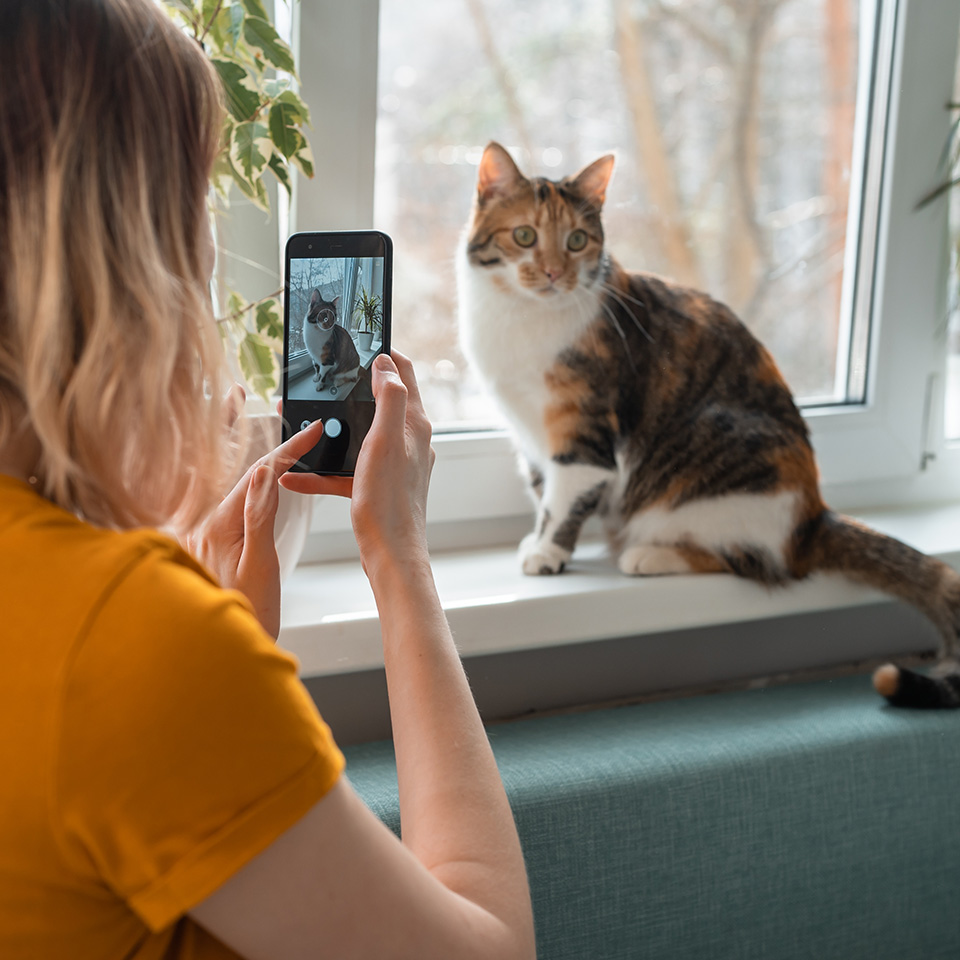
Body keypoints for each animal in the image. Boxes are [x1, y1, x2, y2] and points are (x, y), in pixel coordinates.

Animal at [458, 144, 960, 712]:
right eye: (524, 235)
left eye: (577, 241)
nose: (551, 272)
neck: (520, 317)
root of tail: (814, 516)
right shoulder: (530, 436)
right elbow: (544, 489)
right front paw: (539, 540)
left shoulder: (583, 430)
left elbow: (565, 496)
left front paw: (548, 553)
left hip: (713, 466)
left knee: (754, 561)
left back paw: (649, 554)